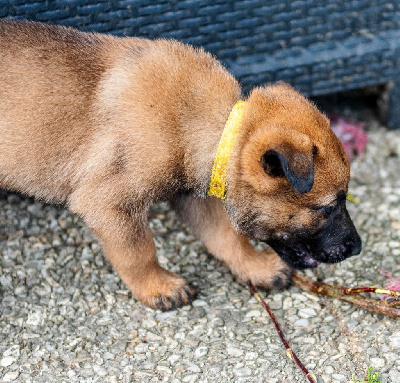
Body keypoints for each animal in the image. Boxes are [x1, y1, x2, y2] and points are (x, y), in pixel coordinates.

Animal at [0, 19, 362, 310]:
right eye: (328, 208)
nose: (357, 248)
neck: (202, 122)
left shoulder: (195, 194)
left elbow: (227, 237)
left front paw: (255, 267)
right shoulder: (110, 206)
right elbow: (139, 252)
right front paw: (158, 286)